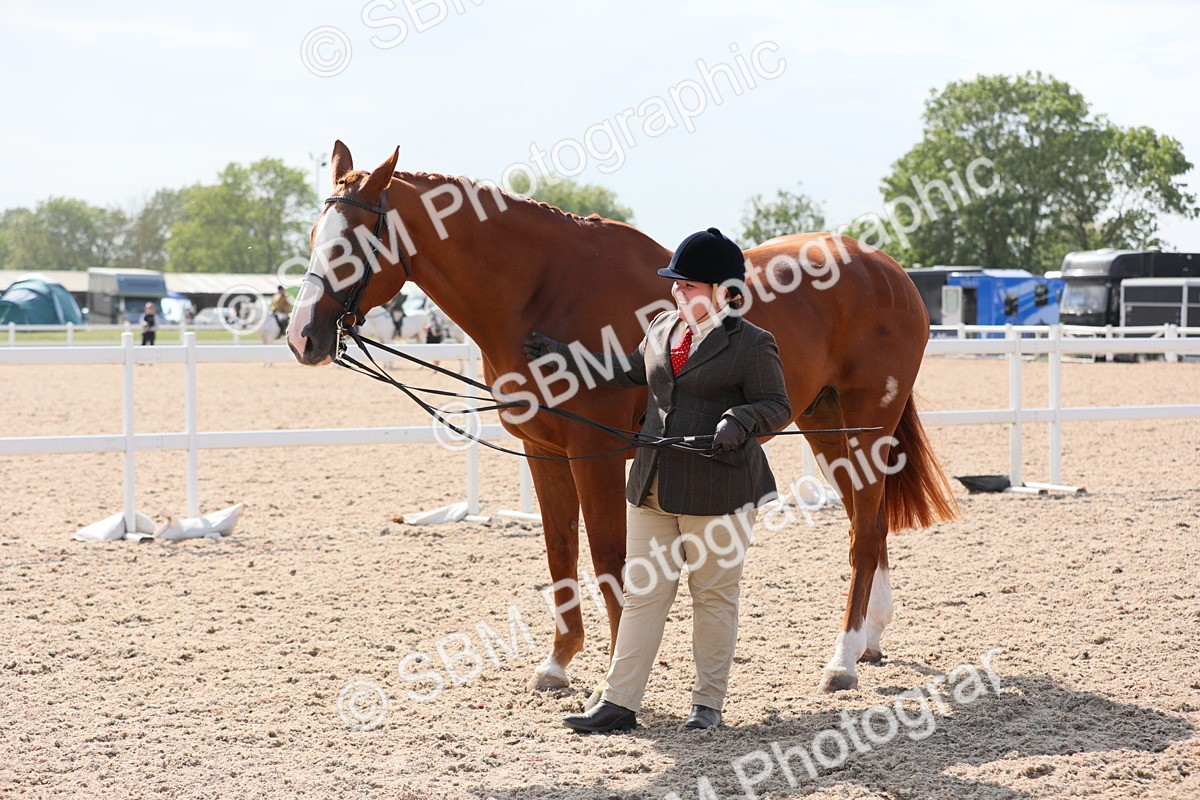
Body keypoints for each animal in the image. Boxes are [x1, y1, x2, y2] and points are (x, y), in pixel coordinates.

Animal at [287, 141, 958, 695]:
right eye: (315, 232)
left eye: (350, 244)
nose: (301, 338)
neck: (542, 292)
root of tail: (887, 269)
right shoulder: (545, 452)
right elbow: (561, 553)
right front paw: (558, 664)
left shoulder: (597, 454)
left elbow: (609, 556)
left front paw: (615, 670)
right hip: (827, 426)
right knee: (869, 525)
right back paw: (869, 642)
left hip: (868, 425)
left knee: (864, 533)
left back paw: (842, 661)